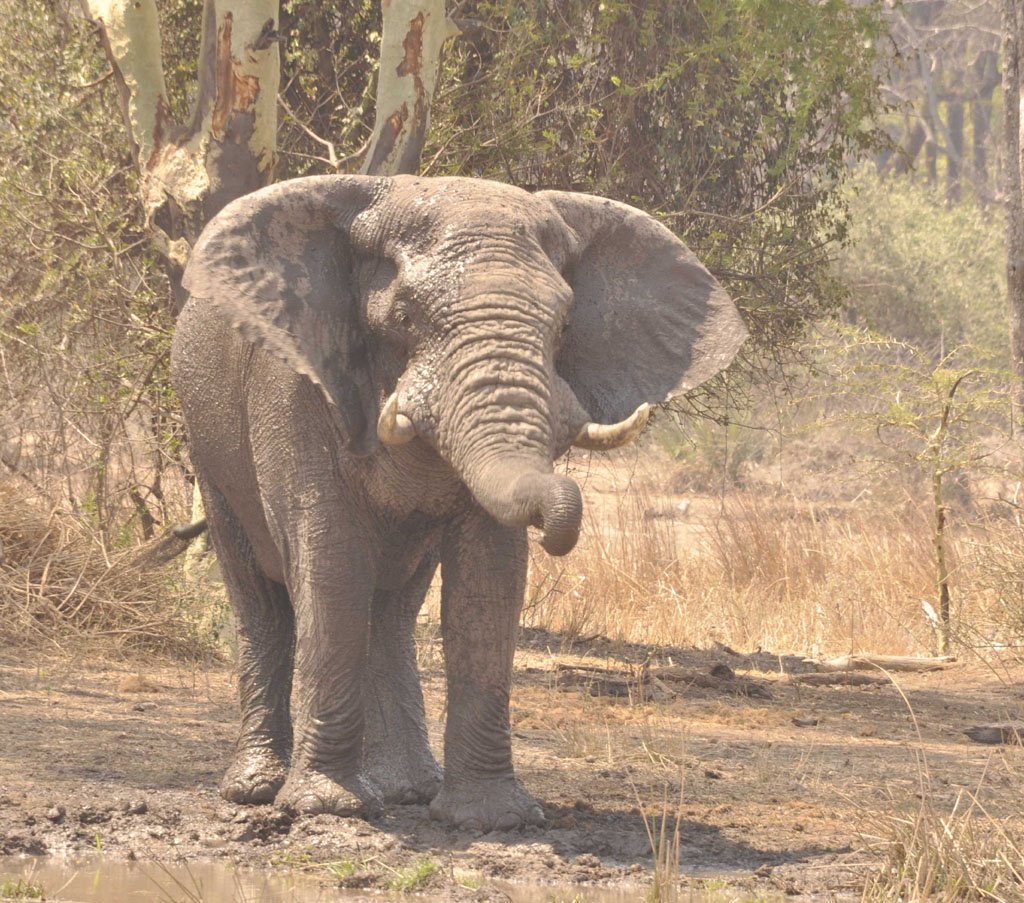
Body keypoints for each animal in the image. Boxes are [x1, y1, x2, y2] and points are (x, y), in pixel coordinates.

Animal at [170, 174, 746, 832]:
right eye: (404, 316)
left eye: (564, 327)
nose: (559, 522)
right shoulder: (292, 386)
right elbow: (333, 562)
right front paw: (327, 809)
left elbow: (488, 581)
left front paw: (493, 820)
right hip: (209, 449)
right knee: (262, 602)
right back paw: (255, 790)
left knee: (393, 606)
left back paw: (407, 790)